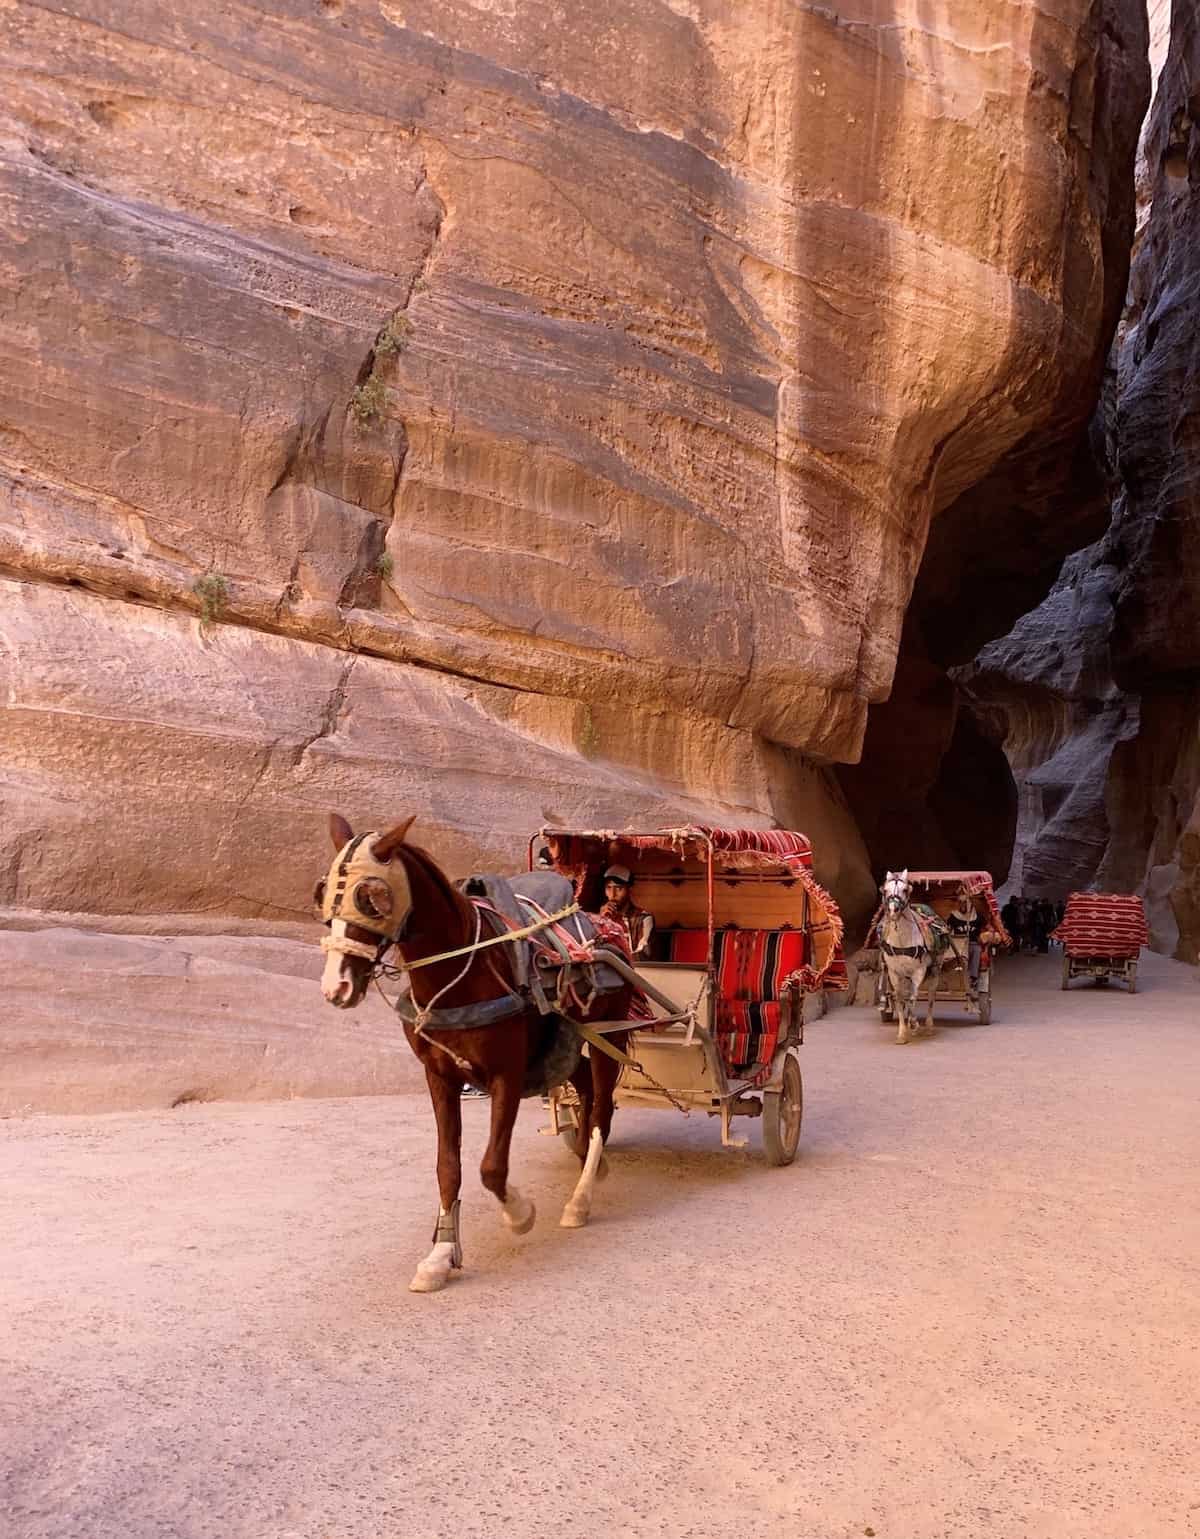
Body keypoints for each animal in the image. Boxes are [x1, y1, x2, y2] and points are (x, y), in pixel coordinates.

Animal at [318, 812, 636, 1292]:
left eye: (372, 898)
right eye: (322, 894)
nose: (336, 986)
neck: (460, 972)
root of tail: (605, 925)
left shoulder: (506, 1073)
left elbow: (491, 1166)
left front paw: (520, 1214)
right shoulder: (440, 1077)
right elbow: (447, 1167)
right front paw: (440, 1255)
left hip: (609, 1035)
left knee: (600, 1110)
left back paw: (580, 1199)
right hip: (570, 1036)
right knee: (581, 1081)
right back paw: (587, 1162)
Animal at [880, 867, 947, 1046]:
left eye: (905, 889)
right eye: (885, 890)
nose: (893, 911)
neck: (902, 941)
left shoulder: (919, 971)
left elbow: (912, 998)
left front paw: (914, 1024)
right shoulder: (894, 973)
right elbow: (900, 999)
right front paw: (902, 1033)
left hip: (935, 969)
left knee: (930, 996)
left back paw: (929, 1026)